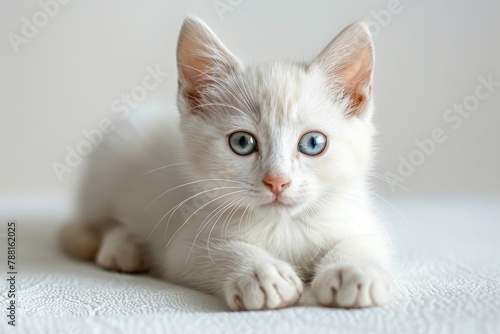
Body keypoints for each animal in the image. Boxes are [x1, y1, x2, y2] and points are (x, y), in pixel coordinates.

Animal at [59, 16, 394, 310]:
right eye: (242, 143)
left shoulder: (354, 217)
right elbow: (213, 250)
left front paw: (352, 271)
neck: (283, 226)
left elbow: (363, 242)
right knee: (97, 223)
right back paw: (124, 247)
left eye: (312, 143)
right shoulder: (185, 243)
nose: (277, 181)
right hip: (108, 162)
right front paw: (261, 274)